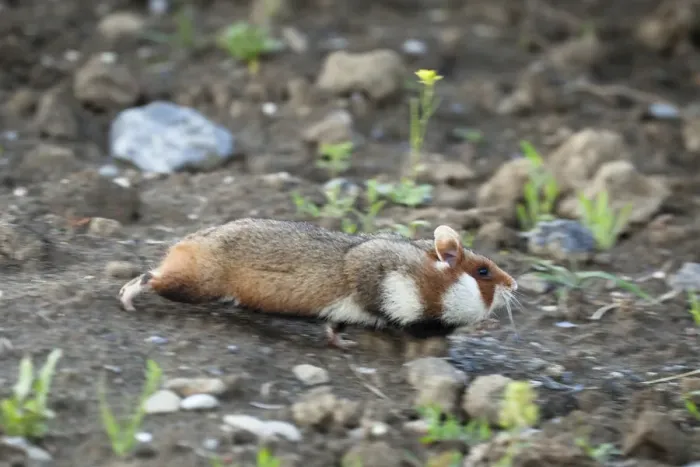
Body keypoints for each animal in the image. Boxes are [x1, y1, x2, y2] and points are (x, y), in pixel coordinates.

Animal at [118, 218, 518, 348]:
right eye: (483, 271)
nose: (515, 284)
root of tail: (187, 240)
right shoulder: (371, 271)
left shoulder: (345, 312)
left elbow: (334, 325)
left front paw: (341, 343)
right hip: (196, 284)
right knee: (148, 277)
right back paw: (127, 298)